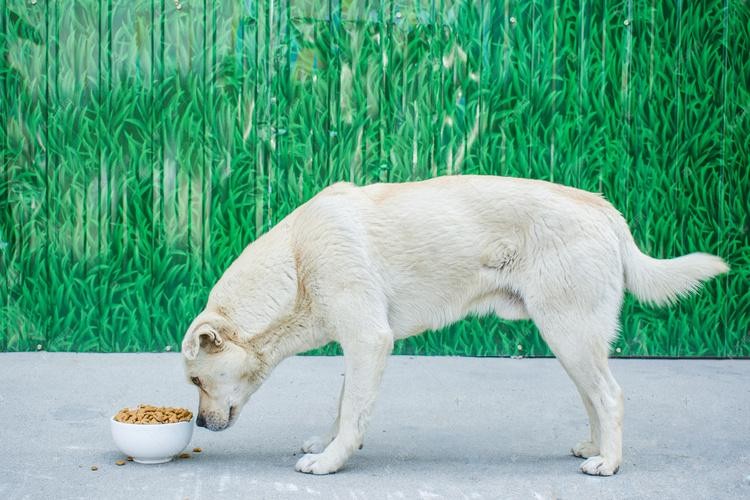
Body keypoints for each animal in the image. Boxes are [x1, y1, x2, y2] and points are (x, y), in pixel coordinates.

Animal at [181, 176, 728, 476]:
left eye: (195, 379)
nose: (200, 425)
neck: (296, 262)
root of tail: (603, 207)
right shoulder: (360, 347)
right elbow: (344, 405)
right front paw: (331, 442)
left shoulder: (369, 340)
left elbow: (353, 410)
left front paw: (332, 460)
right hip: (571, 340)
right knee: (595, 397)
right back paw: (595, 448)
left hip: (568, 334)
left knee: (610, 396)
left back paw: (609, 465)